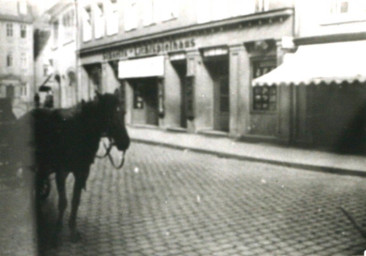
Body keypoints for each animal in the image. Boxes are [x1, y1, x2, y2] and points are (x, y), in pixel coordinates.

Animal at [9, 91, 132, 242]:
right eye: (108, 115)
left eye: (123, 112)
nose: (125, 142)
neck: (78, 130)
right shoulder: (61, 171)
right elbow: (63, 202)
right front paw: (57, 231)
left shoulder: (82, 171)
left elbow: (75, 200)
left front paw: (73, 229)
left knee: (38, 183)